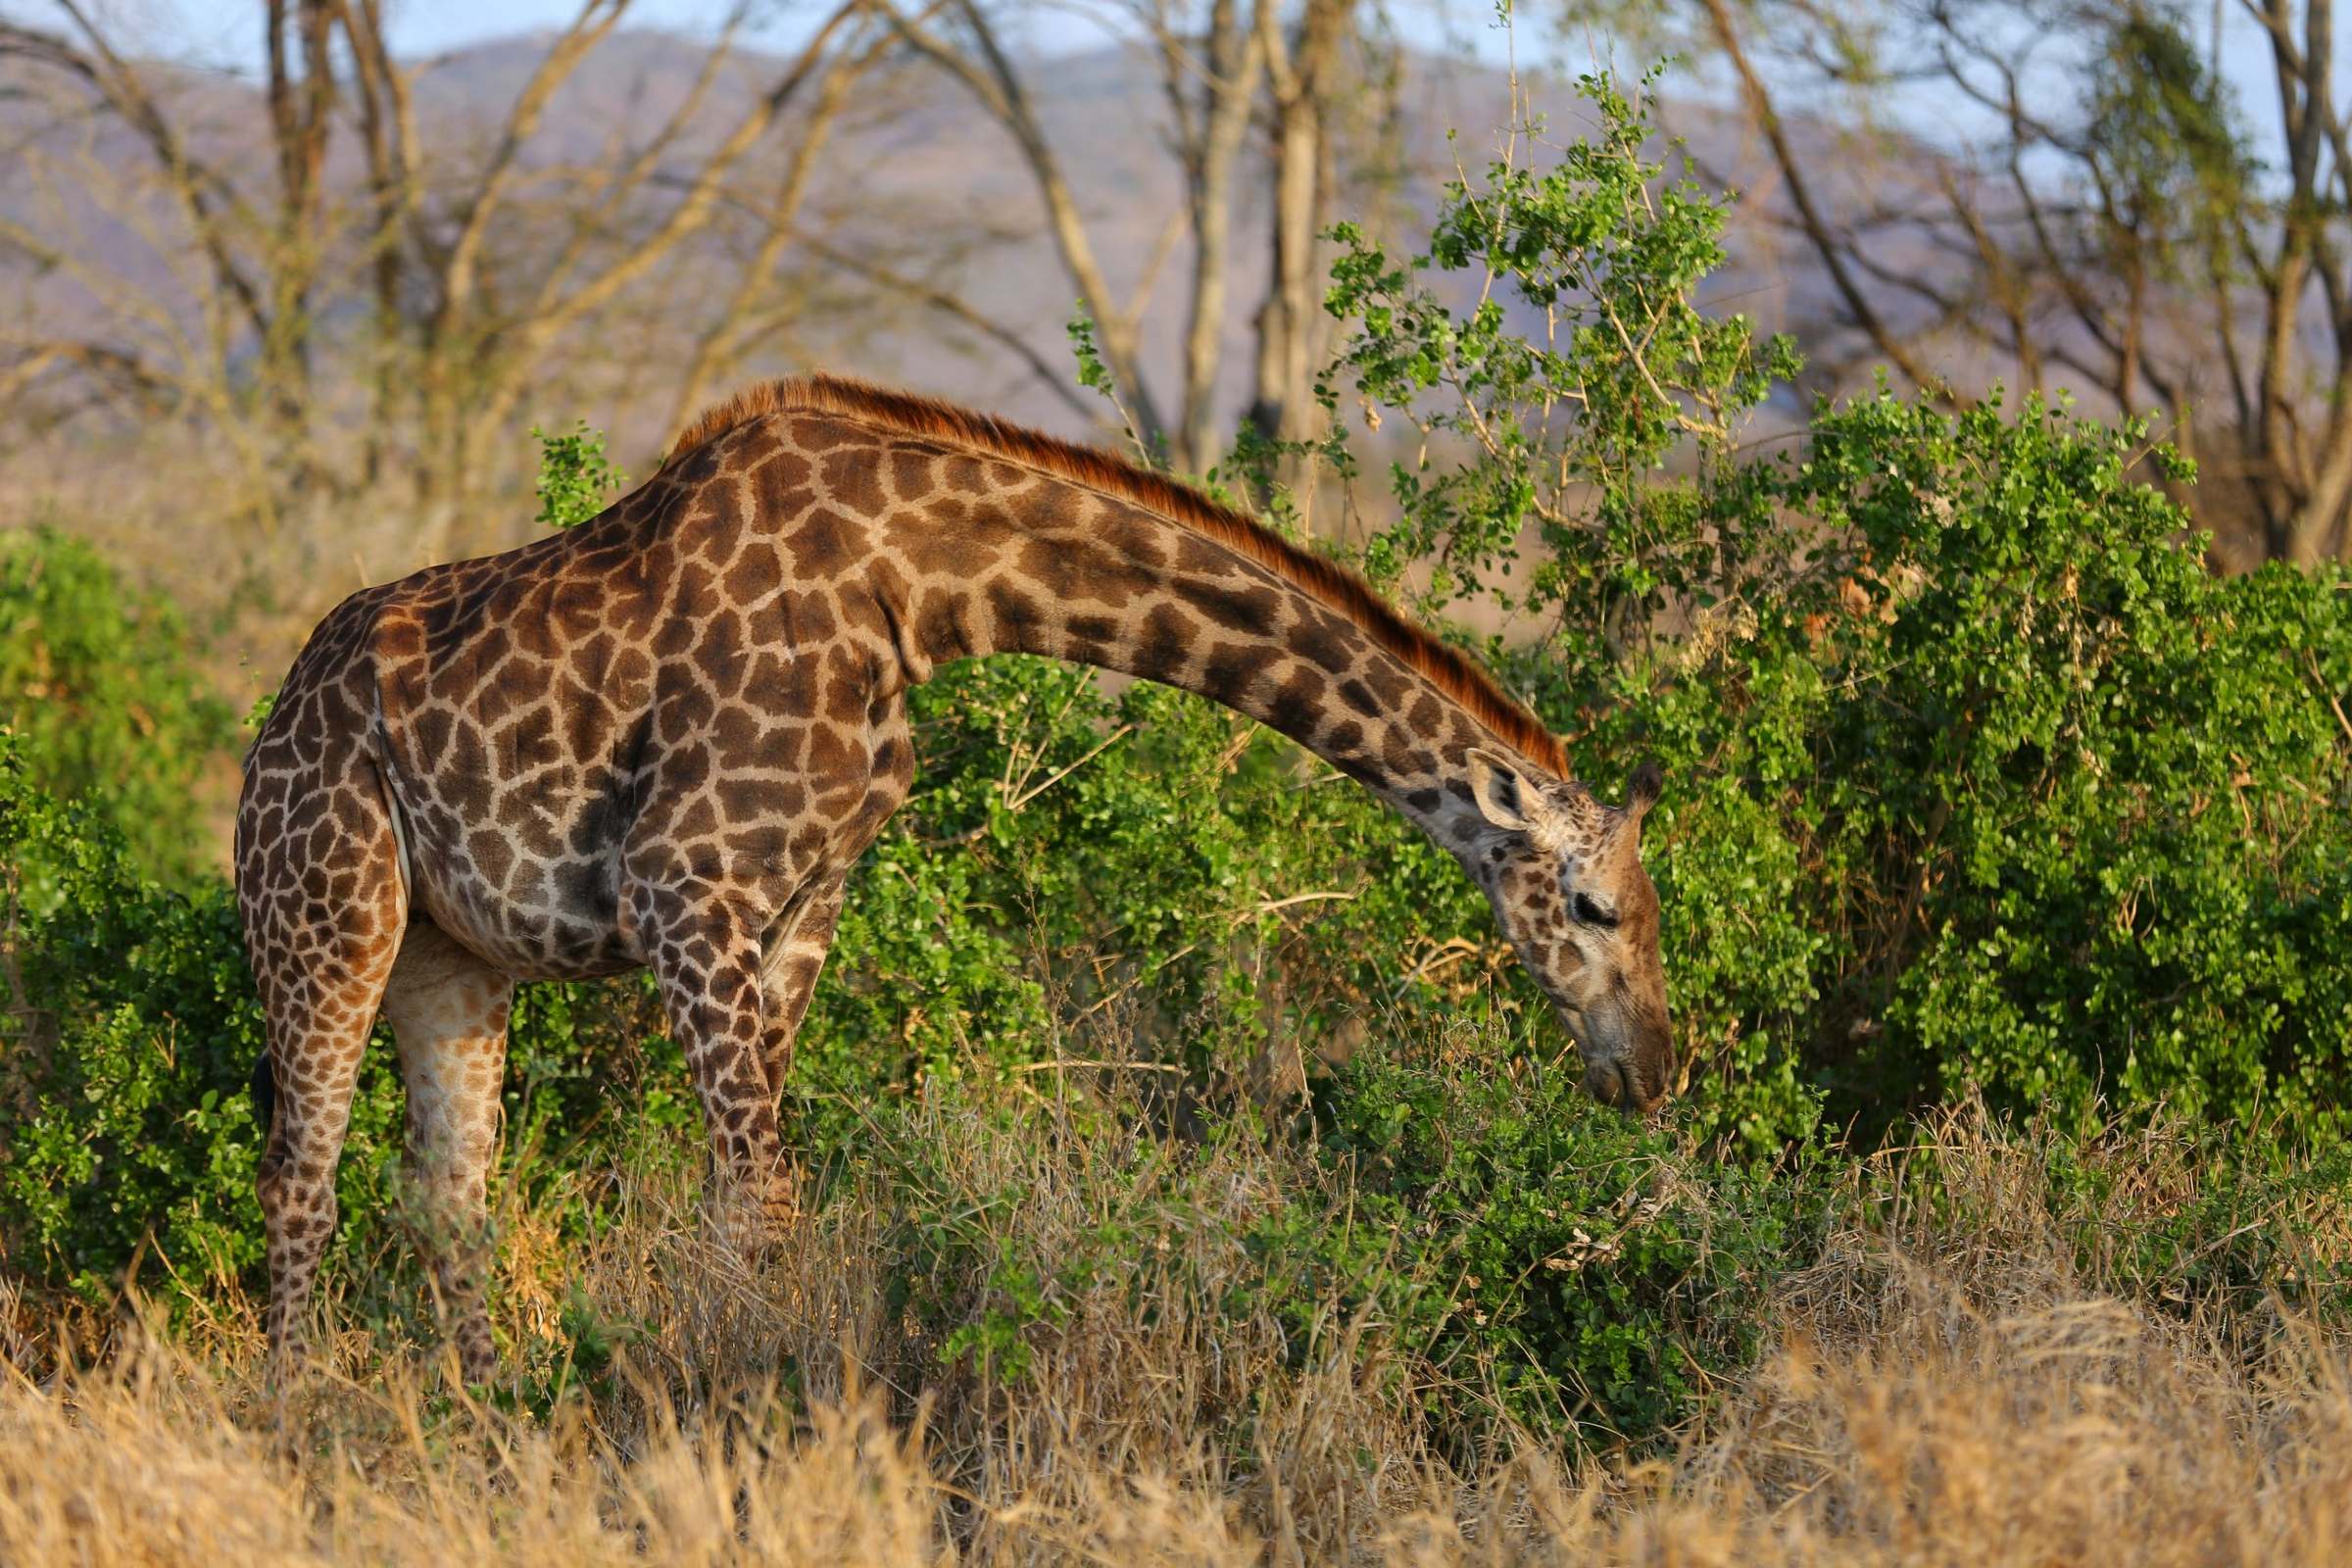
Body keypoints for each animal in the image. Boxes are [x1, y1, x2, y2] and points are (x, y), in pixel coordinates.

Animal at [233, 373, 1674, 1382]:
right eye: (1593, 906)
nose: (1656, 1070)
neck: (918, 585)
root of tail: (275, 715)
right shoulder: (680, 882)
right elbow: (760, 1189)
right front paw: (746, 1394)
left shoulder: (806, 896)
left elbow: (744, 1190)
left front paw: (739, 1375)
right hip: (326, 909)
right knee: (299, 1179)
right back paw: (295, 1414)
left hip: (455, 960)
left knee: (446, 1199)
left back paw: (486, 1409)